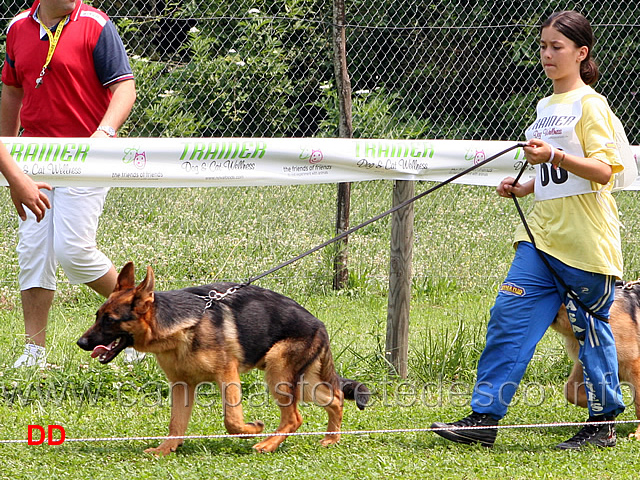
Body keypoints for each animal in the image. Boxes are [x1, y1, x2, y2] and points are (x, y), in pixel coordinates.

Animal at [77, 262, 370, 454]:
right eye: (96, 316)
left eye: (110, 320)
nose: (81, 343)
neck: (180, 327)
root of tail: (319, 324)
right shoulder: (182, 386)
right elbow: (175, 423)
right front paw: (166, 449)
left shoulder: (228, 376)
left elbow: (231, 421)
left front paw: (254, 428)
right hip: (303, 383)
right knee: (336, 399)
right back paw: (331, 439)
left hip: (278, 374)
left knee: (295, 418)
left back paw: (268, 444)